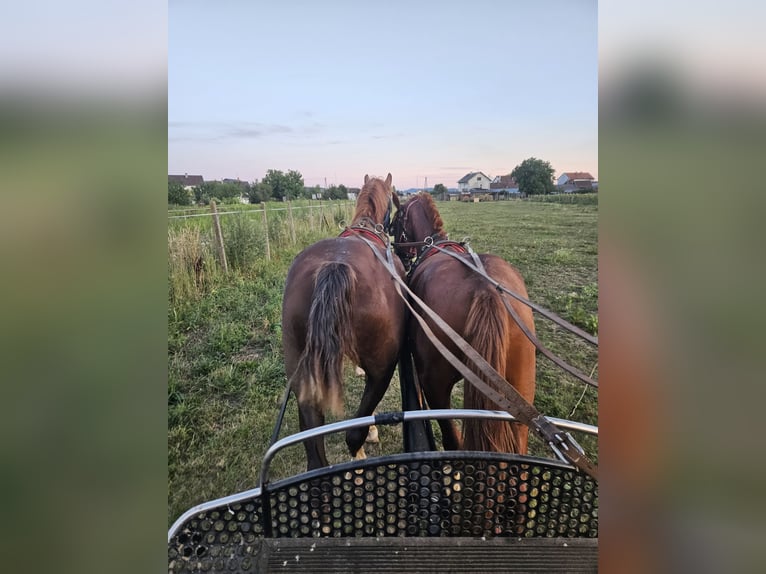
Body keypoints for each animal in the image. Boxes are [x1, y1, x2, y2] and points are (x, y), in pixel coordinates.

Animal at [391, 193, 536, 453]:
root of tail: (485, 289)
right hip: (521, 395)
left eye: (396, 221)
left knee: (452, 440)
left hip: (435, 385)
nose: (401, 255)